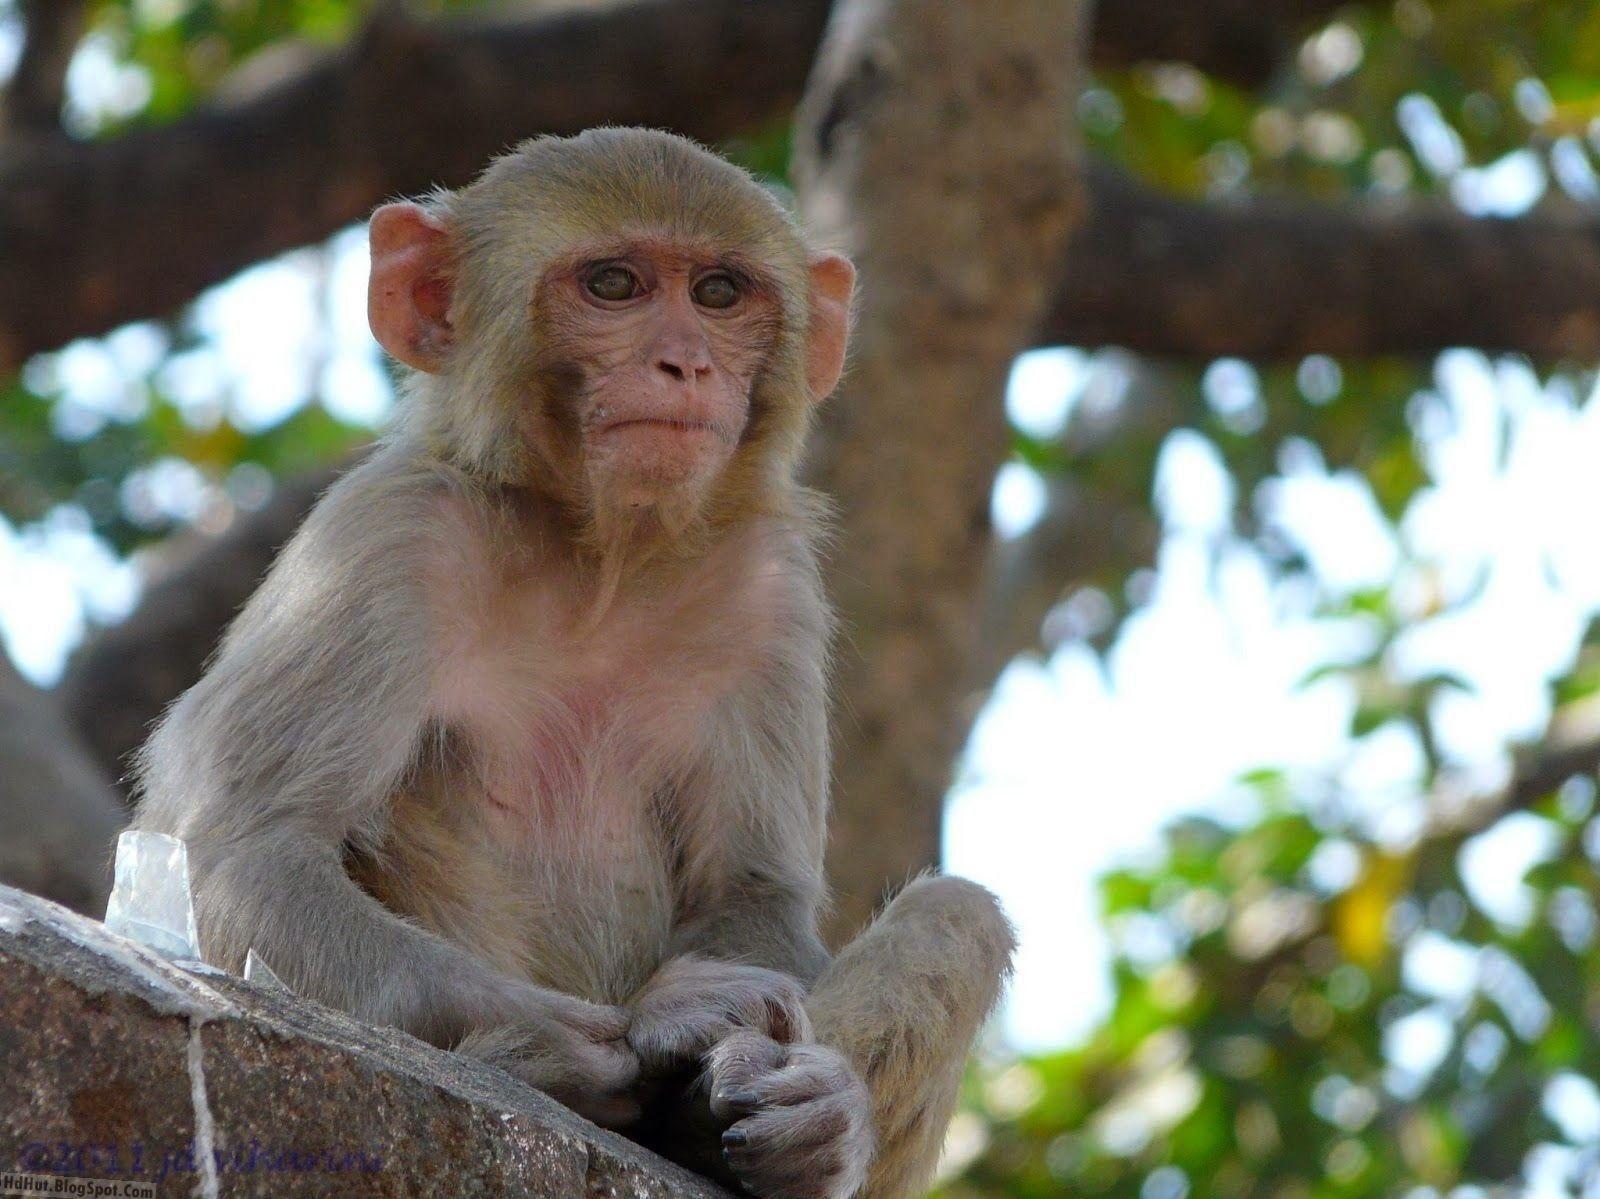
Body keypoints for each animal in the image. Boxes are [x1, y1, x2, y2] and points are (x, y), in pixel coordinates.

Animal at [137, 131, 1011, 1197]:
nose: (684, 364)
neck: (600, 557)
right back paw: (551, 1060)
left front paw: (812, 1098)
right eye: (614, 285)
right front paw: (652, 1025)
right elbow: (247, 847)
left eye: (720, 293)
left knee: (960, 913)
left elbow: (752, 891)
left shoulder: (769, 591)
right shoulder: (387, 532)